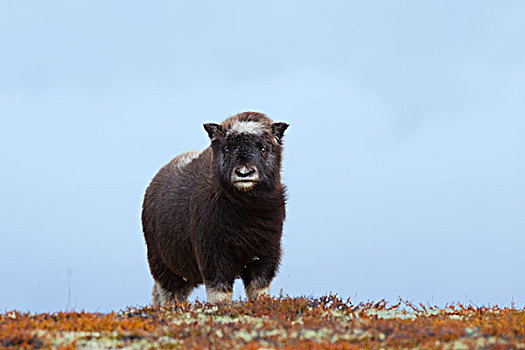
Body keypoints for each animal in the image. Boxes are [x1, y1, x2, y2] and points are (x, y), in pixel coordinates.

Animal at [141, 111, 288, 304]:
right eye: (227, 149)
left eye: (262, 148)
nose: (244, 173)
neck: (246, 209)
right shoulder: (214, 255)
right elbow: (219, 291)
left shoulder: (264, 254)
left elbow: (258, 288)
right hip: (164, 267)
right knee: (170, 293)